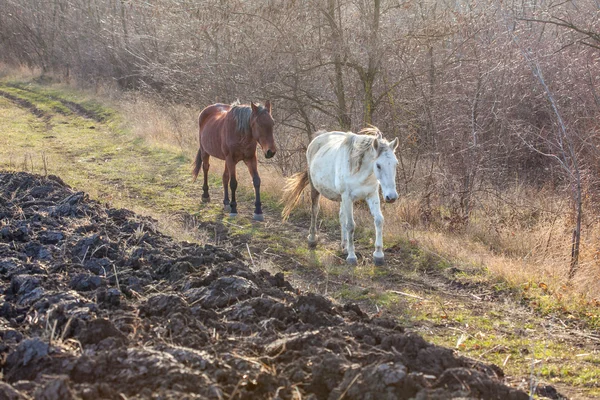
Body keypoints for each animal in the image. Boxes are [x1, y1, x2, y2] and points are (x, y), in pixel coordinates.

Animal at [282, 128, 398, 266]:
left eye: (395, 164)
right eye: (379, 165)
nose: (392, 197)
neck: (359, 171)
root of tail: (318, 138)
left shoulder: (371, 195)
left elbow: (379, 220)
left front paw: (378, 255)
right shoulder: (348, 197)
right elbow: (351, 225)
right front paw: (352, 257)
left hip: (342, 198)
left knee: (342, 216)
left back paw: (344, 246)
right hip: (315, 188)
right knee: (315, 210)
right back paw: (312, 239)